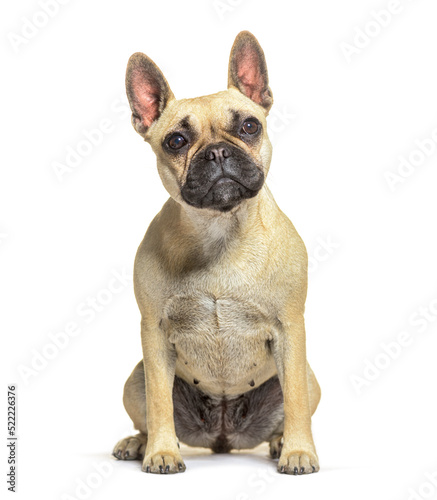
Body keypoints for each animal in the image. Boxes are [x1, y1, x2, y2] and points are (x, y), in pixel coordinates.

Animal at [111, 31, 320, 476]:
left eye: (249, 125)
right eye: (176, 141)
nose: (218, 152)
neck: (220, 231)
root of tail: (223, 436)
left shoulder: (290, 328)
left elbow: (294, 400)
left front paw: (298, 451)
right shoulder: (154, 334)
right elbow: (159, 402)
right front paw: (162, 451)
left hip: (310, 378)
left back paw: (281, 442)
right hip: (134, 379)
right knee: (147, 412)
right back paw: (139, 443)